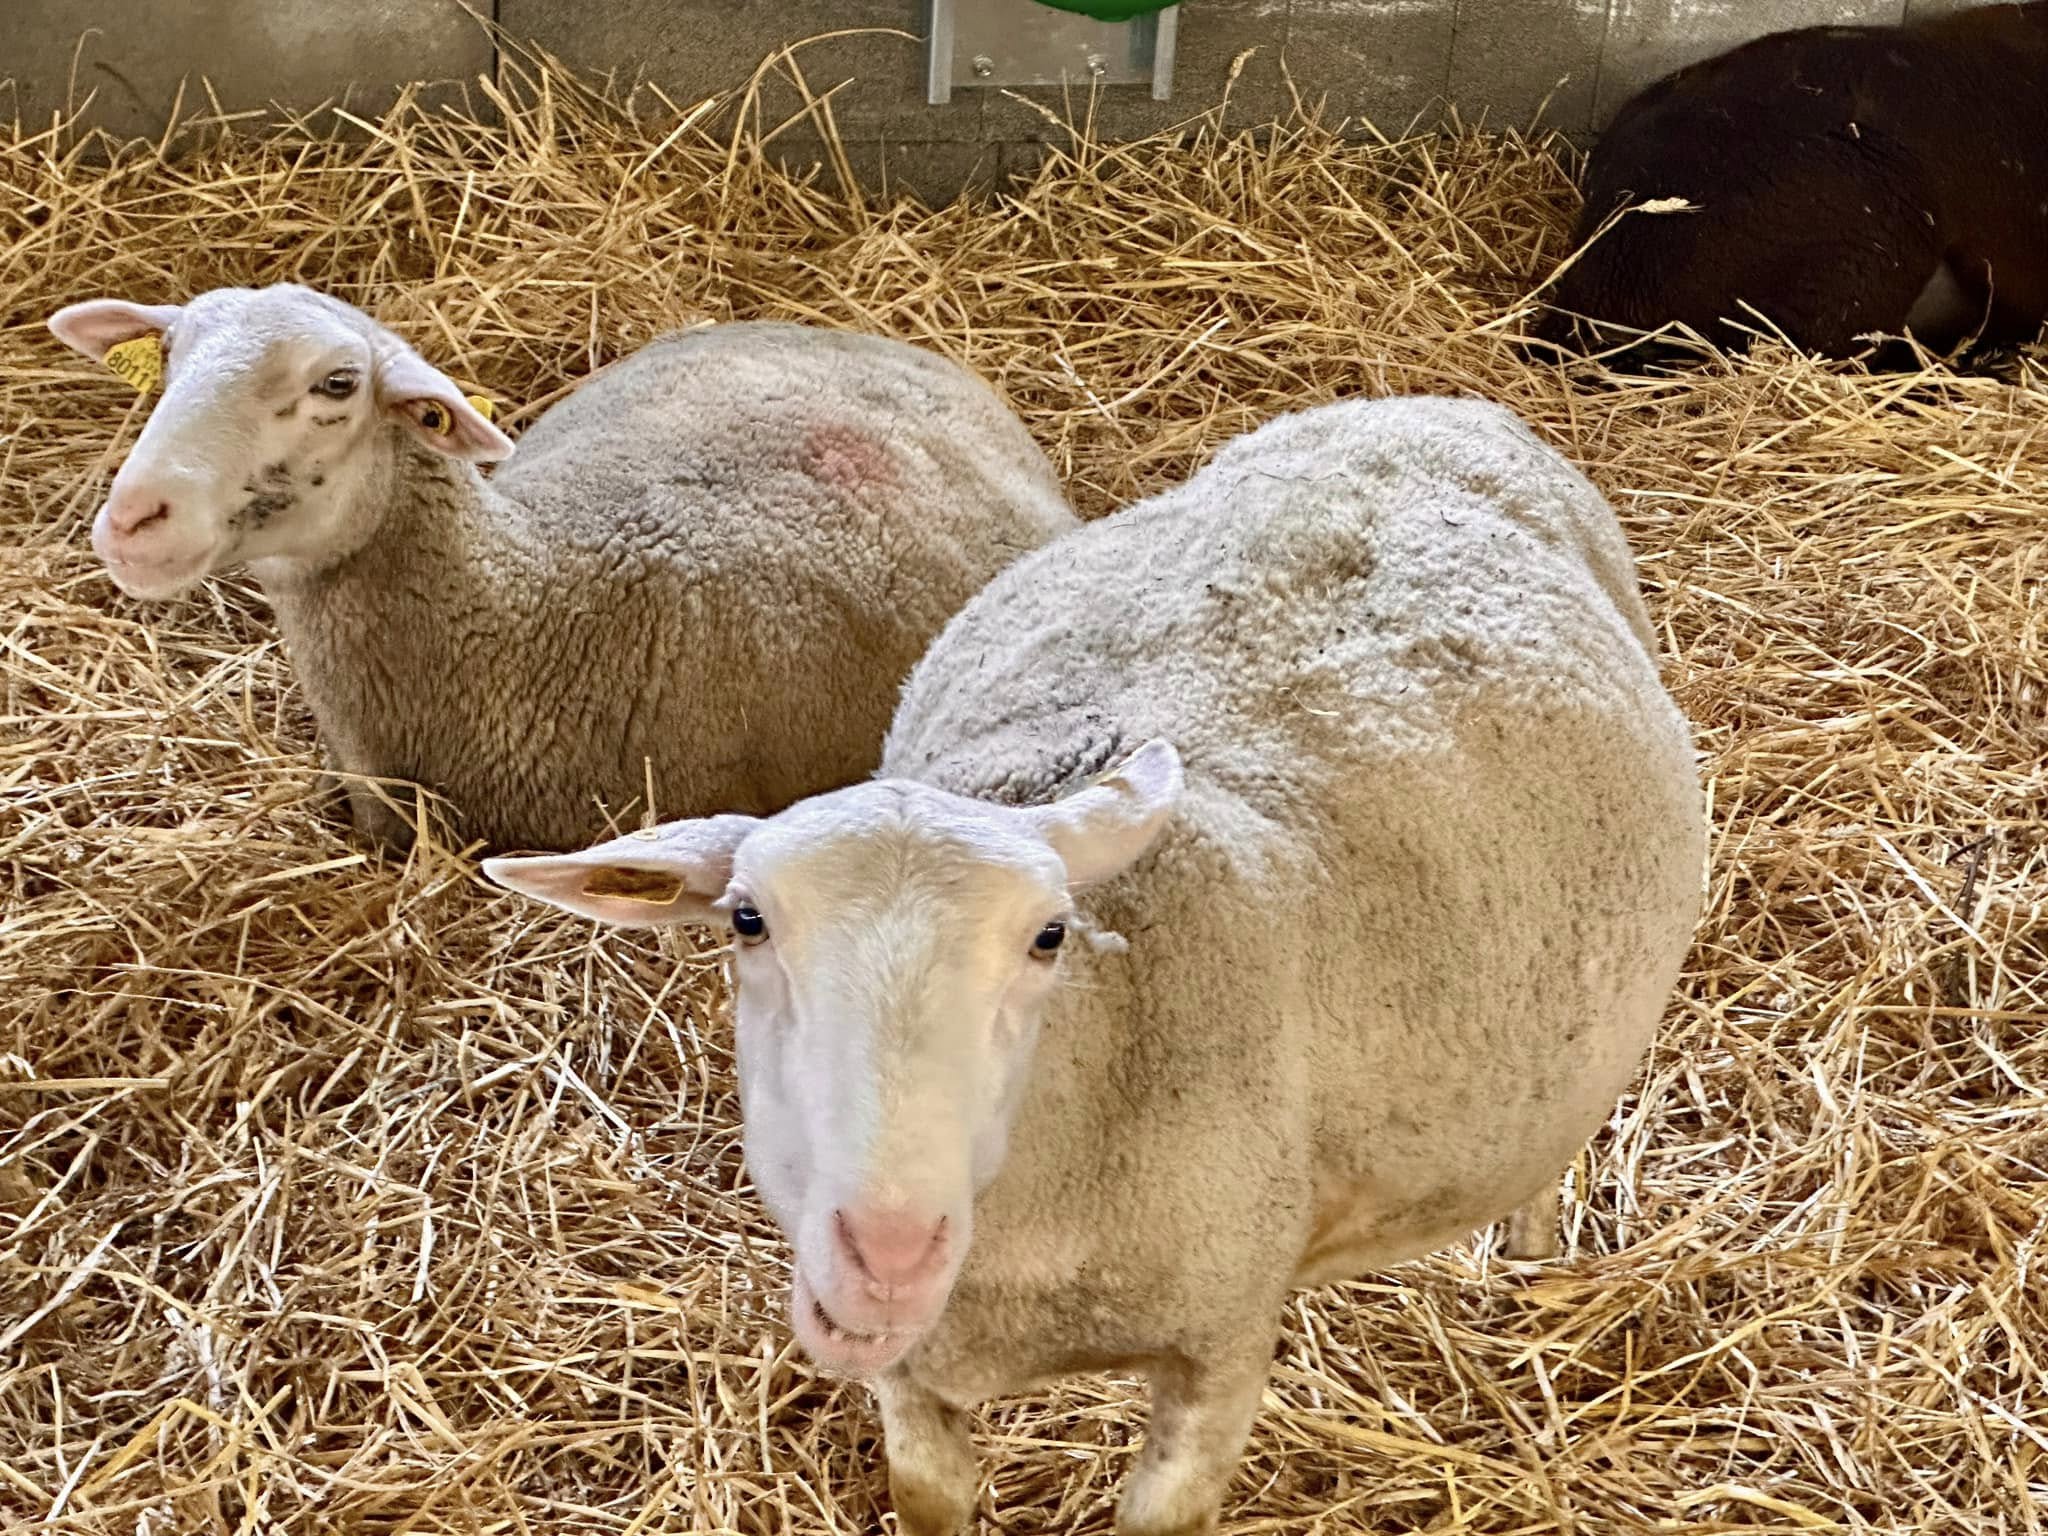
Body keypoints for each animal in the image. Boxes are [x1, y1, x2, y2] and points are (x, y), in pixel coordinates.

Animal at [487, 399, 1703, 1536]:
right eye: (745, 921)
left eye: (1048, 937)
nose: (887, 1254)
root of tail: (1428, 404)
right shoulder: (909, 1376)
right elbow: (927, 1494)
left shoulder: (1221, 1346)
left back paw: (1528, 1259)